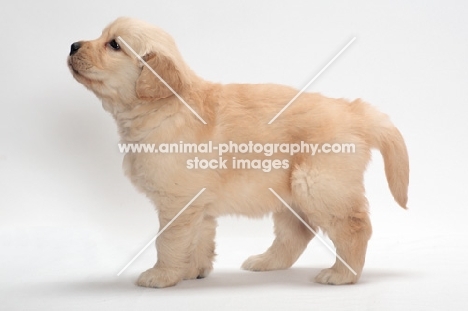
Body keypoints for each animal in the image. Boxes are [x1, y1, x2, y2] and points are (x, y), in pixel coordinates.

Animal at [66, 17, 410, 288]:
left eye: (114, 45)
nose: (72, 45)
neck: (164, 107)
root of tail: (354, 110)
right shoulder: (198, 203)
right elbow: (199, 237)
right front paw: (194, 271)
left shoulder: (177, 201)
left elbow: (168, 240)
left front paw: (162, 275)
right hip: (290, 190)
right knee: (297, 231)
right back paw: (266, 262)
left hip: (317, 183)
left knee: (354, 226)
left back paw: (341, 274)